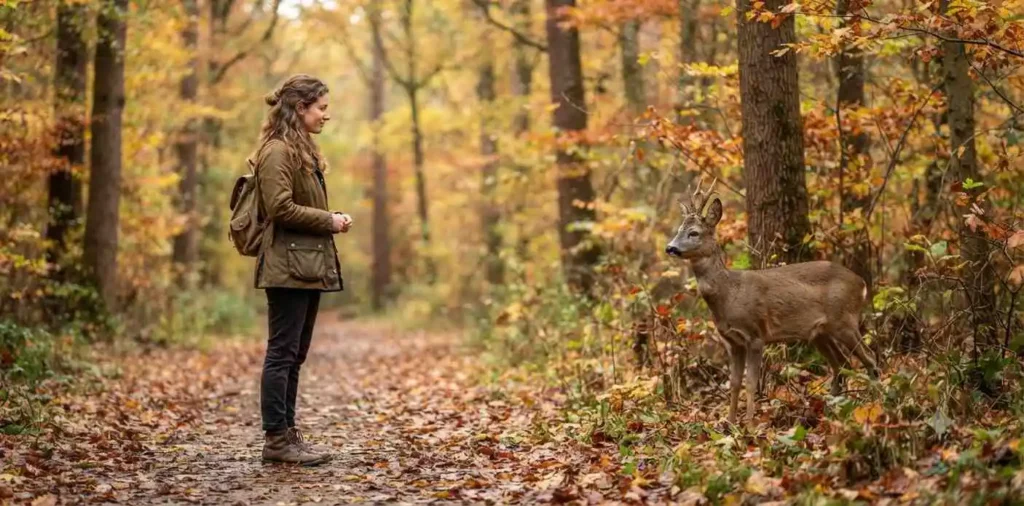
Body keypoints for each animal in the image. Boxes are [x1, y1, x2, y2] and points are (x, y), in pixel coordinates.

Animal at [664, 177, 879, 427]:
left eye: (694, 233)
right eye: (679, 230)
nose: (670, 247)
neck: (729, 293)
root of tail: (862, 283)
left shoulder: (756, 335)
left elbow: (750, 383)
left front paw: (749, 424)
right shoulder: (732, 342)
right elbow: (734, 383)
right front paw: (729, 422)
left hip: (844, 321)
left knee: (869, 358)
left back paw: (875, 405)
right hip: (821, 333)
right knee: (842, 364)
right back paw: (832, 411)